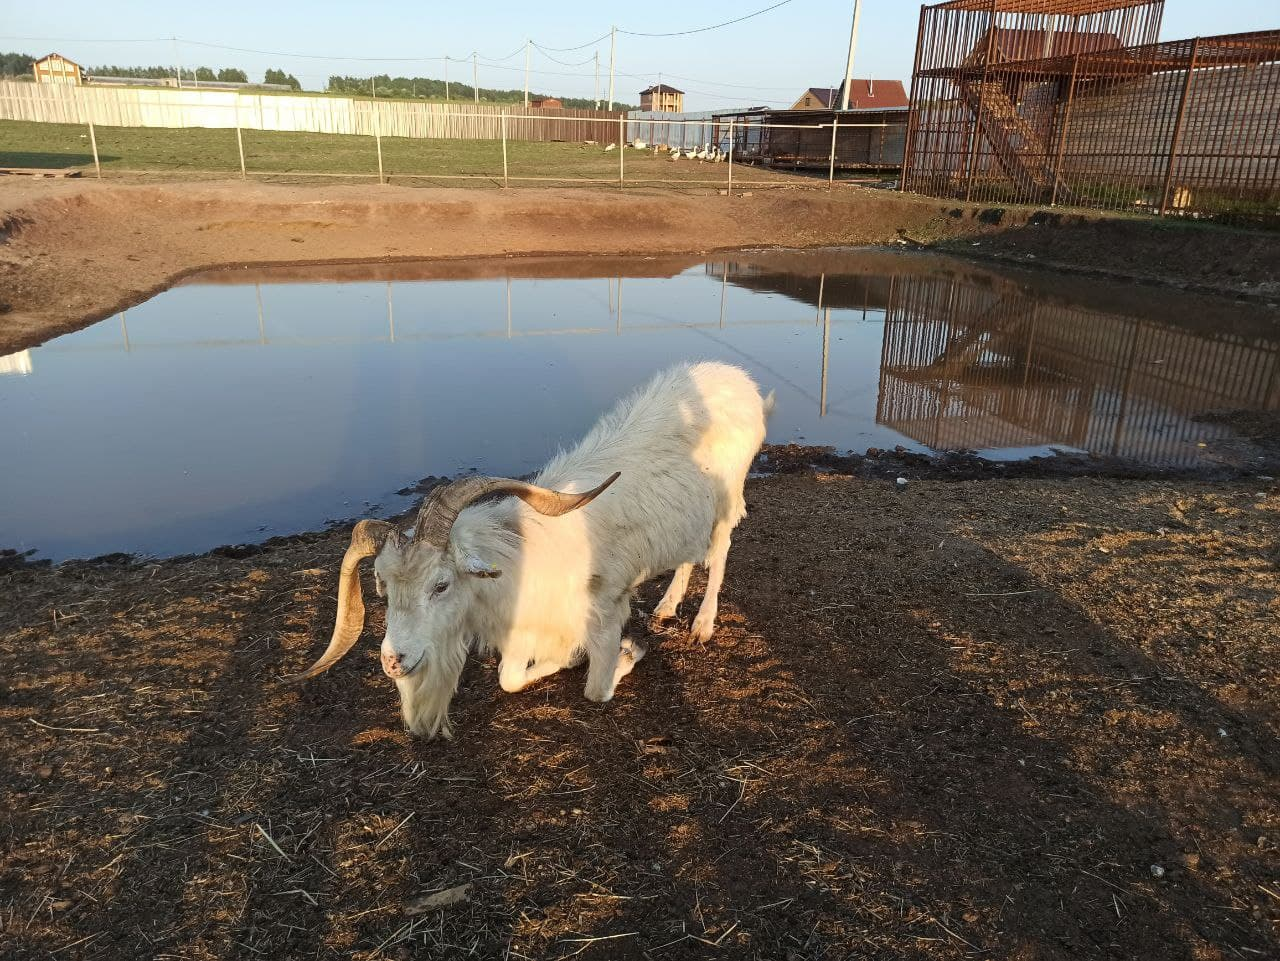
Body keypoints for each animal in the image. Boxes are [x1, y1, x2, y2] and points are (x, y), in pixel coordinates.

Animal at [288, 360, 768, 737]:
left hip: (726, 503)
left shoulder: (605, 612)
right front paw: (568, 659)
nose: (393, 661)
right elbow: (509, 679)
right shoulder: (526, 630)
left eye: (441, 585)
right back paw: (667, 606)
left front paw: (629, 652)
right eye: (383, 590)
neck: (520, 557)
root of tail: (739, 379)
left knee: (719, 552)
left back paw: (702, 624)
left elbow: (597, 690)